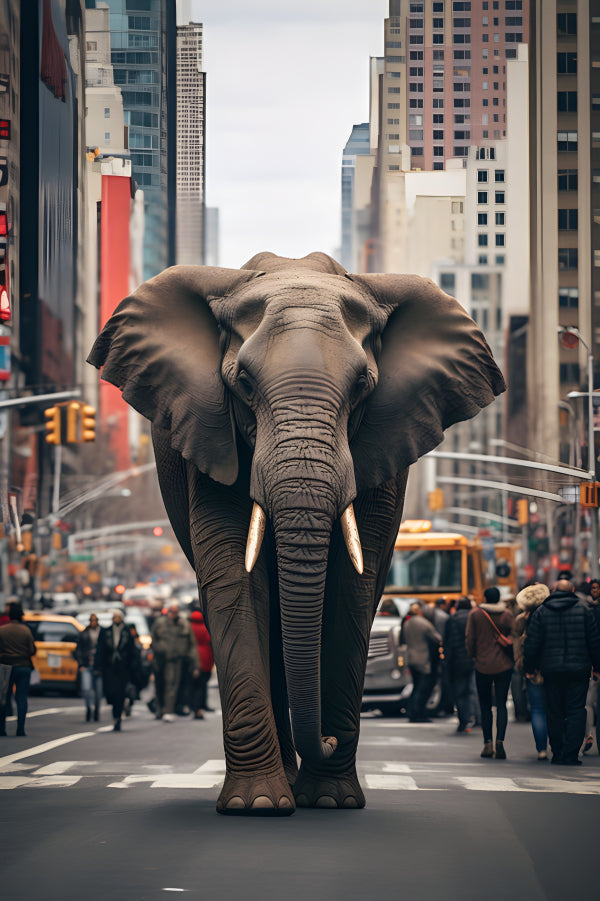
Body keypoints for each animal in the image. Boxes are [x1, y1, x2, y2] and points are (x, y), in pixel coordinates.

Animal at [88, 251, 505, 816]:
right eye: (242, 382)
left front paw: (330, 800)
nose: (327, 738)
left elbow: (354, 588)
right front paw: (258, 805)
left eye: (363, 385)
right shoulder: (210, 433)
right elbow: (233, 580)